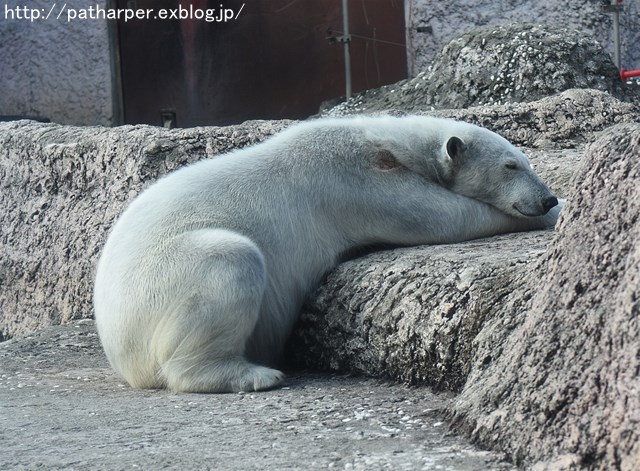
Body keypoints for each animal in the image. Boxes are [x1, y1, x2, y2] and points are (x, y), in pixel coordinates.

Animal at [92, 117, 564, 394]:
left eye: (525, 160)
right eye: (511, 166)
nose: (546, 198)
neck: (385, 140)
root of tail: (116, 344)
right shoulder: (357, 182)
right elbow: (439, 216)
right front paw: (551, 216)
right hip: (164, 279)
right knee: (229, 262)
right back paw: (254, 374)